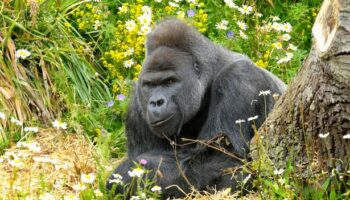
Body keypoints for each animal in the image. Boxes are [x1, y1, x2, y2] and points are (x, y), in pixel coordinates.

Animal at [107, 19, 288, 198]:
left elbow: (228, 163)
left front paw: (127, 174)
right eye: (149, 85)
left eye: (170, 81)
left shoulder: (240, 78)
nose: (156, 102)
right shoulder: (137, 107)